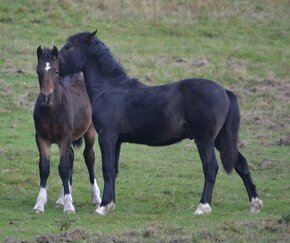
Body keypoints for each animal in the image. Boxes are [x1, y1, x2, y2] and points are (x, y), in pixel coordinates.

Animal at [32, 46, 101, 213]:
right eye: (38, 71)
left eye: (56, 71)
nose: (46, 97)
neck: (52, 112)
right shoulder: (41, 138)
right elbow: (45, 167)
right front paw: (40, 204)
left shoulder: (65, 138)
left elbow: (63, 168)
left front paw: (69, 206)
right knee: (70, 157)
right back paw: (61, 198)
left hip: (89, 131)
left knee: (89, 157)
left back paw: (96, 198)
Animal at [57, 30, 262, 215]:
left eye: (69, 47)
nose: (55, 68)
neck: (110, 89)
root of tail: (225, 91)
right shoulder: (117, 140)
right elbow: (113, 170)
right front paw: (110, 204)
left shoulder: (107, 136)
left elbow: (107, 169)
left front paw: (102, 206)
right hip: (220, 139)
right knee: (241, 164)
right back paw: (255, 204)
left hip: (205, 140)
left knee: (210, 168)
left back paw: (202, 207)